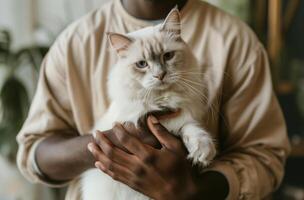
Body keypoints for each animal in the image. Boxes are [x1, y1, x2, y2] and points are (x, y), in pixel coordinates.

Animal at [81, 7, 216, 200]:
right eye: (142, 64)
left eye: (168, 56)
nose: (160, 75)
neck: (162, 98)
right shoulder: (137, 117)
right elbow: (176, 122)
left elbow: (191, 128)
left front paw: (203, 151)